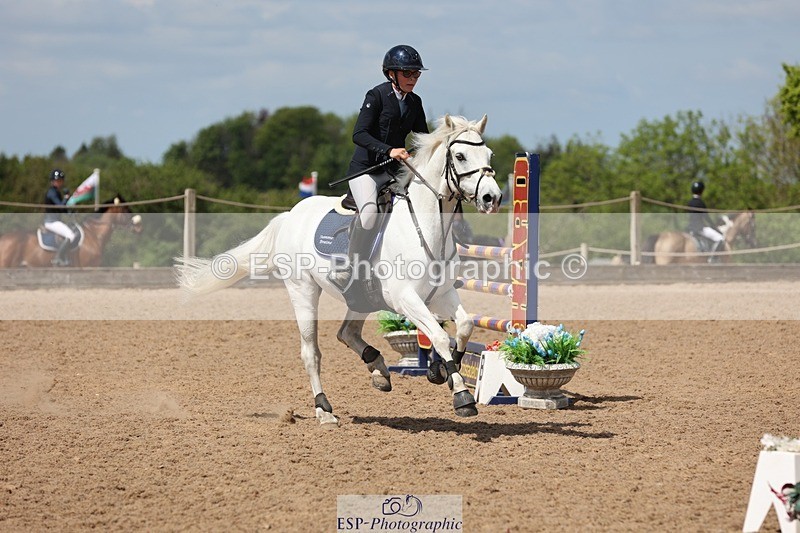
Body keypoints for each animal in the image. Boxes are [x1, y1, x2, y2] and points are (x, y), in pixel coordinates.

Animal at [176, 115, 503, 426]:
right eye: (460, 156)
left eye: (489, 154)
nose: (492, 198)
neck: (424, 227)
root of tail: (289, 215)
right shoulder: (406, 299)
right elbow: (438, 336)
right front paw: (461, 395)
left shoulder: (442, 294)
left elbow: (464, 327)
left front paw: (441, 371)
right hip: (303, 290)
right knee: (311, 352)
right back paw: (324, 410)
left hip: (362, 298)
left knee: (346, 332)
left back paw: (378, 370)